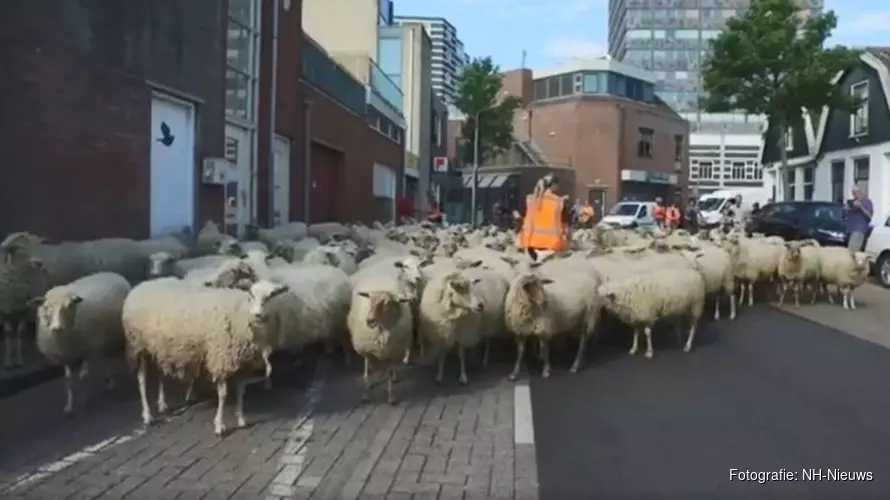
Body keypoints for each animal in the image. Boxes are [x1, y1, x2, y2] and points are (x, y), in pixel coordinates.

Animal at [33, 274, 131, 414]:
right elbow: (68, 380)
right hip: (106, 337)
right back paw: (109, 379)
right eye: (47, 307)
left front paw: (85, 402)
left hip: (117, 335)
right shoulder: (68, 357)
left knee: (115, 357)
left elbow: (84, 377)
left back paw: (113, 380)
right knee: (107, 357)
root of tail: (115, 274)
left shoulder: (88, 352)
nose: (57, 328)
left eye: (69, 306)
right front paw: (69, 406)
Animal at [121, 276, 286, 436]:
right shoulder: (221, 359)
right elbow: (223, 395)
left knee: (161, 374)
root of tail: (141, 285)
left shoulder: (244, 363)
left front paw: (241, 419)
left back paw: (162, 404)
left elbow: (241, 391)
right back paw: (147, 415)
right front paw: (219, 425)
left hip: (160, 348)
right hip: (139, 345)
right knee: (141, 379)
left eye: (271, 295)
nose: (257, 314)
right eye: (251, 294)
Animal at [348, 268, 414, 404]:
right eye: (370, 300)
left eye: (388, 303)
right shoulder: (367, 351)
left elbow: (389, 372)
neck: (382, 330)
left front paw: (391, 397)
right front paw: (366, 393)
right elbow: (367, 372)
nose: (369, 320)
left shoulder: (392, 353)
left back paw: (395, 376)